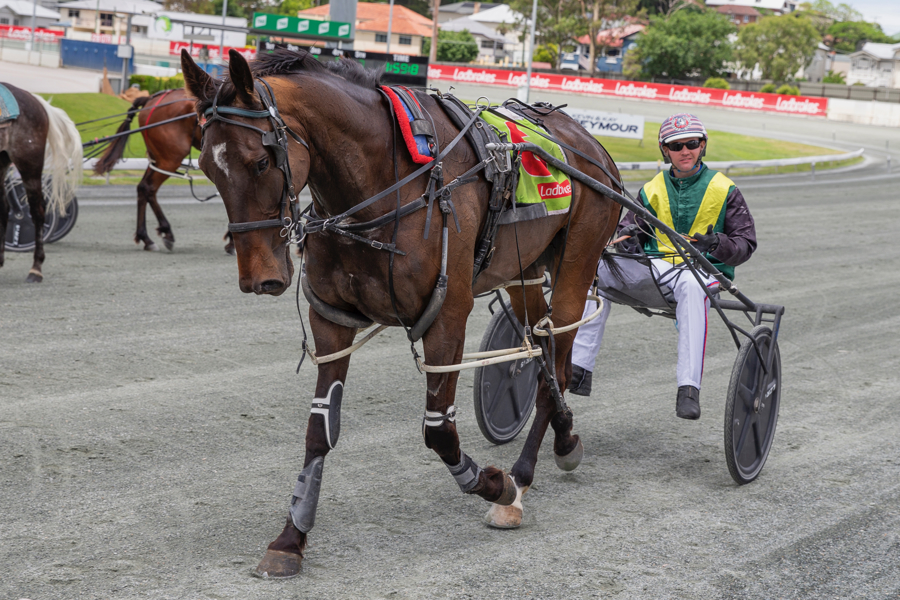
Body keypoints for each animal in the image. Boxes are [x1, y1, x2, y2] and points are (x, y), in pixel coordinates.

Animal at [93, 88, 233, 253]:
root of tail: (151, 100)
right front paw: (232, 240)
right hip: (169, 158)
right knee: (149, 187)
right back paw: (163, 233)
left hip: (158, 158)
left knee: (143, 188)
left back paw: (146, 237)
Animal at [181, 48, 622, 578]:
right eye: (207, 167)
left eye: (262, 160)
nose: (259, 278)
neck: (388, 184)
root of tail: (591, 144)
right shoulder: (332, 320)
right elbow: (319, 429)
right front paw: (291, 538)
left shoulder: (447, 317)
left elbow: (440, 431)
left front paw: (496, 486)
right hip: (524, 272)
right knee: (542, 352)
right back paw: (565, 437)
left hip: (579, 259)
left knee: (555, 360)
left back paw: (522, 477)